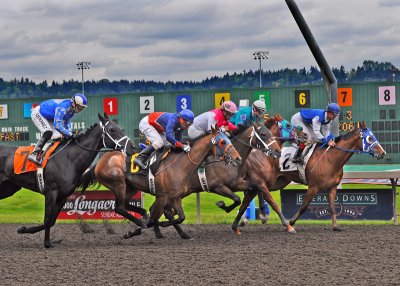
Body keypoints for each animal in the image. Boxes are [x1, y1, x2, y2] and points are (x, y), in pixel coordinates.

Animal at [0, 113, 134, 247]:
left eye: (121, 129)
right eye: (112, 130)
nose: (132, 147)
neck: (69, 159)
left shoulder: (63, 196)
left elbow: (52, 221)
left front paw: (24, 229)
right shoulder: (51, 191)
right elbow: (47, 219)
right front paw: (47, 243)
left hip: (8, 188)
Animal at [78, 126, 241, 238]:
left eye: (228, 139)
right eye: (222, 141)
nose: (238, 158)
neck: (180, 165)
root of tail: (100, 161)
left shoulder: (175, 197)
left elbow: (180, 217)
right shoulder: (164, 196)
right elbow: (159, 217)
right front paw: (139, 229)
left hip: (131, 187)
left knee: (127, 205)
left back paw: (144, 217)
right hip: (118, 184)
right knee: (119, 207)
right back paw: (142, 222)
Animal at [233, 120, 386, 235]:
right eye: (370, 138)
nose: (382, 153)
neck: (330, 159)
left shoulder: (332, 187)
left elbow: (332, 207)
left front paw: (336, 226)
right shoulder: (313, 187)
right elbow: (304, 206)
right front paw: (291, 222)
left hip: (274, 182)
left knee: (247, 198)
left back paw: (242, 222)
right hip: (264, 181)